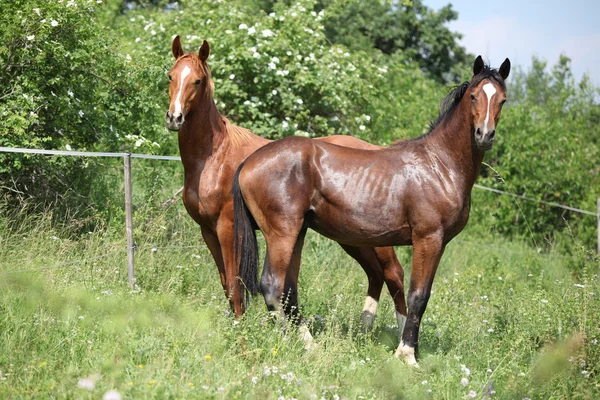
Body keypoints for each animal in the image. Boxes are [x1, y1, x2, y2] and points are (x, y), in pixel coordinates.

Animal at [166, 35, 406, 328]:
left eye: (198, 81)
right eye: (170, 76)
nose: (174, 118)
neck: (215, 156)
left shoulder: (227, 229)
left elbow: (235, 284)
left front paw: (240, 329)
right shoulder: (208, 231)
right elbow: (226, 284)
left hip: (376, 239)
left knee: (394, 273)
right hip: (351, 237)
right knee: (375, 274)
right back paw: (364, 330)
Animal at [232, 56, 508, 366]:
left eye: (502, 100)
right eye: (473, 96)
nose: (485, 135)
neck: (439, 165)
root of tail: (249, 162)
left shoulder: (436, 243)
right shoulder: (428, 240)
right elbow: (418, 296)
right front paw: (407, 355)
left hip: (299, 234)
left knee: (289, 289)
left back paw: (309, 344)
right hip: (283, 233)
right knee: (272, 285)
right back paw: (296, 345)